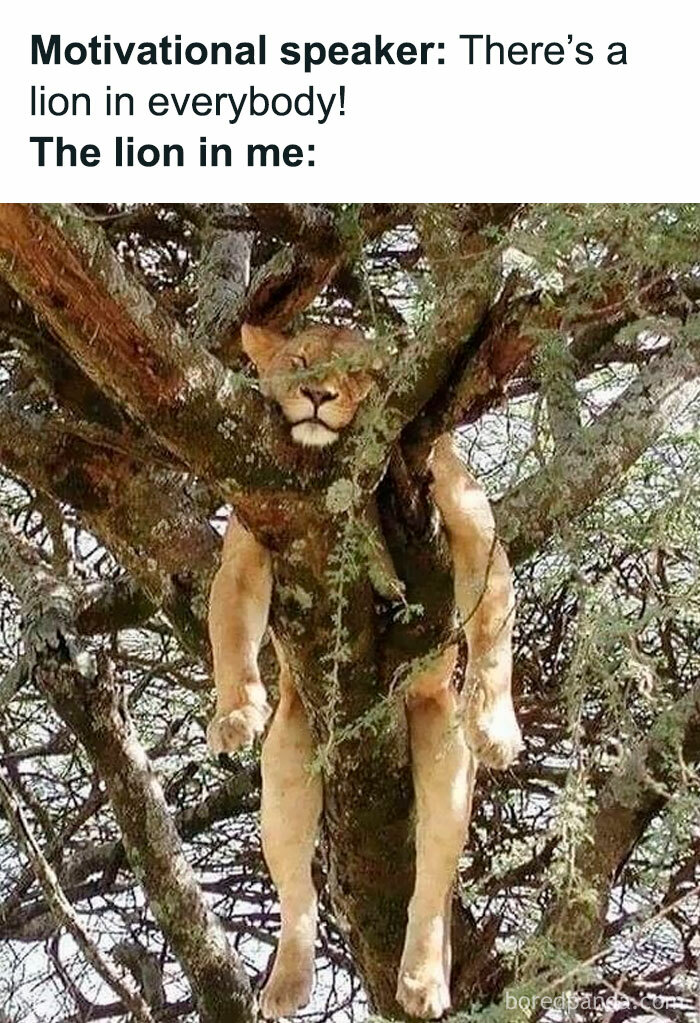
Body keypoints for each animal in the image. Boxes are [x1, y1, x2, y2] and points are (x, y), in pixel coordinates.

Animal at [207, 323, 522, 1019]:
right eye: (299, 362)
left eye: (360, 374)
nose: (319, 395)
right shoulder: (251, 535)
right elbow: (230, 630)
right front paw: (235, 712)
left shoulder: (471, 522)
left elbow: (491, 630)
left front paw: (496, 728)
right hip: (291, 754)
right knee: (297, 889)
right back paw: (288, 980)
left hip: (439, 749)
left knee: (430, 880)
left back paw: (423, 980)